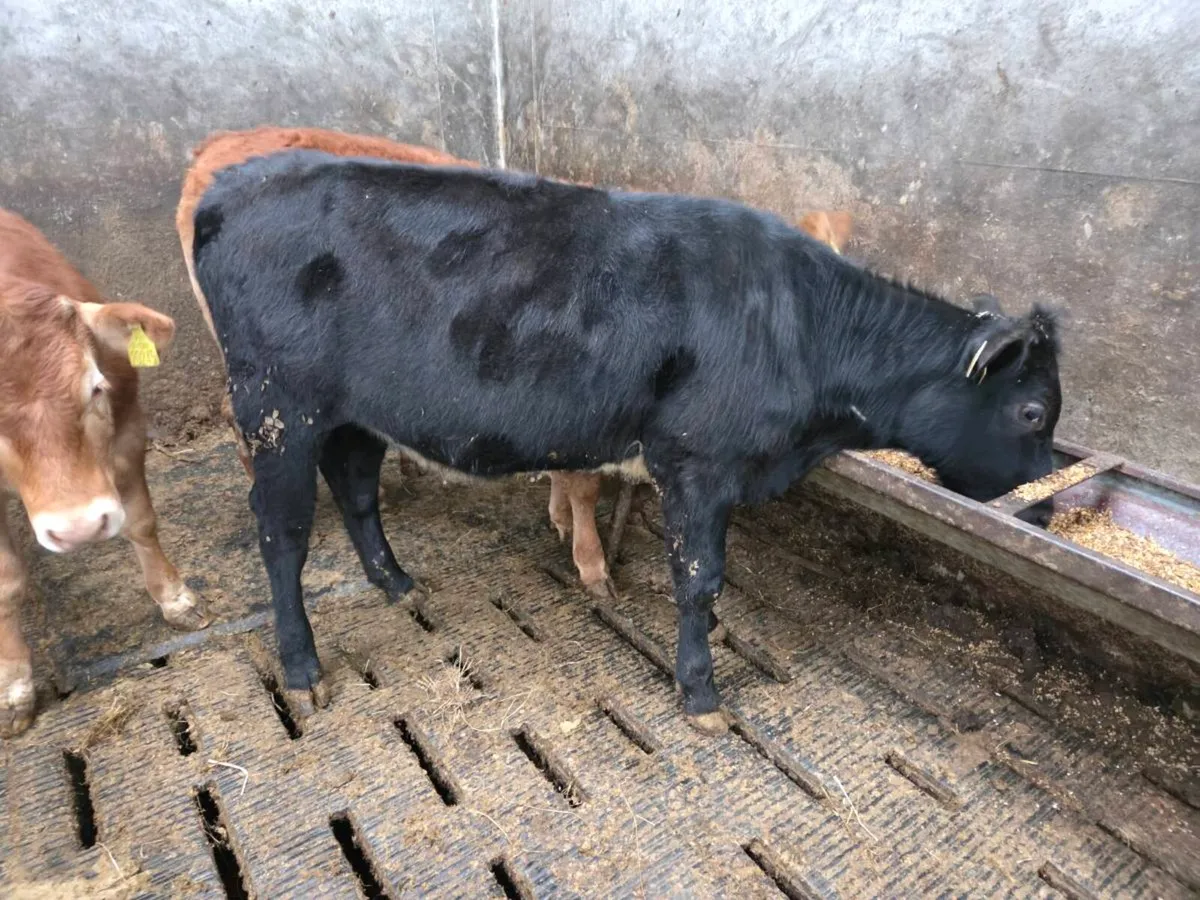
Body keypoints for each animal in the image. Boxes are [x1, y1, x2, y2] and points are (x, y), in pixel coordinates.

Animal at [0, 209, 209, 736]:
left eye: (95, 388)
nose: (77, 529)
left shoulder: (130, 425)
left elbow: (141, 522)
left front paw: (176, 599)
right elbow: (6, 581)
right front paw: (13, 689)